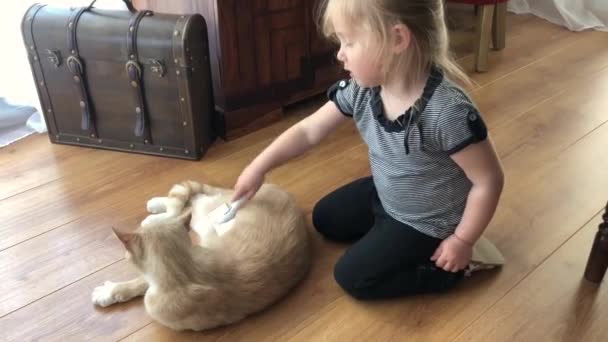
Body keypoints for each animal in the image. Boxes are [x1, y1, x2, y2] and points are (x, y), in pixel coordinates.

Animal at [92, 182, 312, 332]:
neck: (183, 271)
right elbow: (141, 282)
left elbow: (141, 281)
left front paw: (109, 291)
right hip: (204, 218)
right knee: (191, 199)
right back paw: (156, 207)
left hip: (203, 217)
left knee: (192, 201)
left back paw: (154, 213)